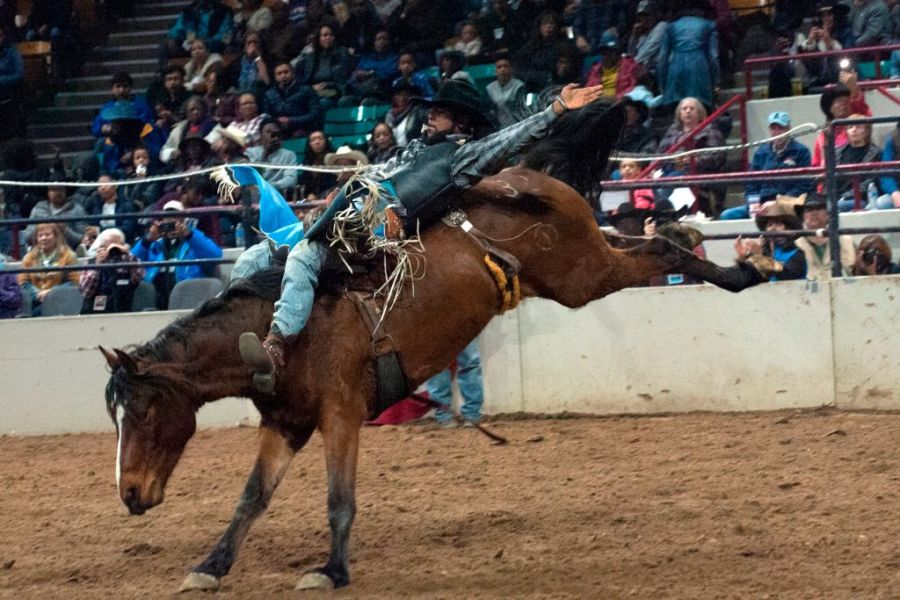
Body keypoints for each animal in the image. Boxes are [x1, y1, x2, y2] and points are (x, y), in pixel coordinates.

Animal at [100, 101, 768, 592]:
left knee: (655, 250)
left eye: (143, 410)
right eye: (119, 416)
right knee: (645, 245)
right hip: (583, 263)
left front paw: (331, 571)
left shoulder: (340, 414)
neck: (283, 333)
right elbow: (251, 499)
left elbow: (339, 498)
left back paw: (741, 270)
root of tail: (533, 174)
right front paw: (210, 567)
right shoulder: (286, 424)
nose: (128, 496)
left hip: (583, 275)